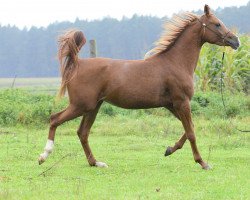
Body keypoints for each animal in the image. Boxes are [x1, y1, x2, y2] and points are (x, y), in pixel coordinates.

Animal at [38, 5, 239, 170]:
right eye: (217, 24)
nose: (235, 41)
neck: (176, 63)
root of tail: (77, 63)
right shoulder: (182, 102)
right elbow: (191, 133)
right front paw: (203, 163)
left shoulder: (172, 105)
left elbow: (190, 128)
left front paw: (169, 149)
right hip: (81, 105)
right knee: (55, 119)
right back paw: (43, 156)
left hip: (93, 107)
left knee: (82, 133)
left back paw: (96, 163)